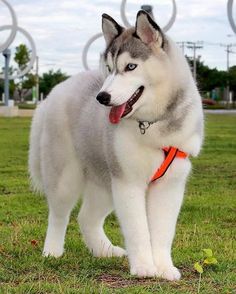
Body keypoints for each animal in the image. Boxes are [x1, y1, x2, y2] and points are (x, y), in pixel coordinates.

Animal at [29, 10, 203, 280]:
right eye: (109, 69)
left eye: (130, 66)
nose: (102, 97)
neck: (151, 124)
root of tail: (53, 93)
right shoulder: (128, 182)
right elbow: (138, 230)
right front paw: (144, 267)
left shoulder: (170, 185)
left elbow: (163, 232)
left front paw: (164, 268)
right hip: (66, 177)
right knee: (59, 215)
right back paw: (52, 251)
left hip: (105, 181)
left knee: (86, 218)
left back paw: (104, 250)